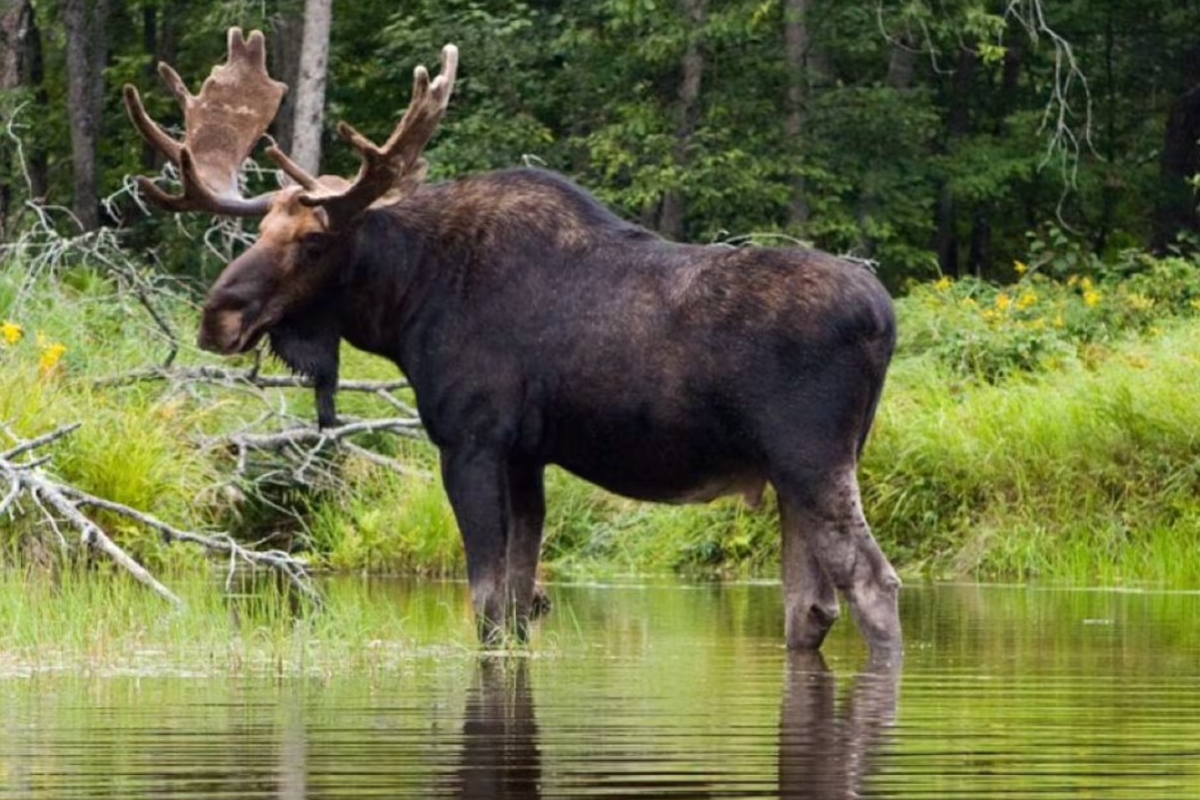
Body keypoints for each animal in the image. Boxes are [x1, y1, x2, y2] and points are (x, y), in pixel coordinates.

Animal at [123, 28, 902, 658]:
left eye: (314, 240)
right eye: (258, 231)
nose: (217, 316)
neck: (406, 302)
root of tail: (887, 319)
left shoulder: (472, 439)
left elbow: (490, 606)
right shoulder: (529, 454)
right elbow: (522, 605)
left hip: (811, 458)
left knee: (874, 586)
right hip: (797, 474)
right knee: (810, 607)